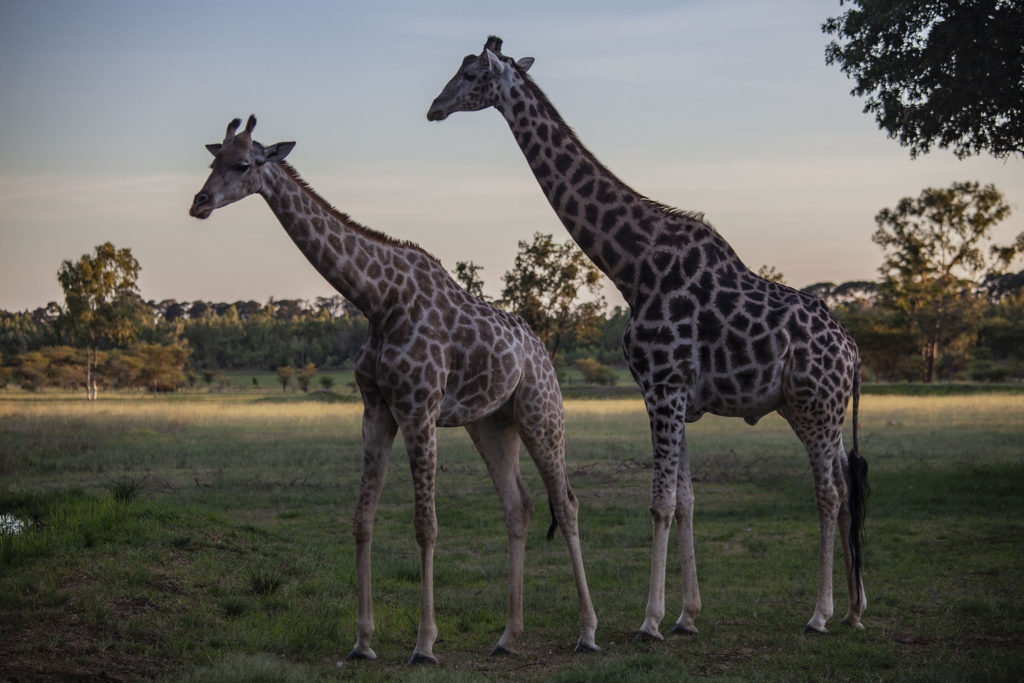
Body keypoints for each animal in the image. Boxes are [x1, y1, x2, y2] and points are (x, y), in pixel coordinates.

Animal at [190, 116, 598, 663]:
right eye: (211, 160)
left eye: (242, 164)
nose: (199, 202)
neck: (376, 300)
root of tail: (540, 350)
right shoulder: (376, 410)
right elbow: (362, 519)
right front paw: (362, 641)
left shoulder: (418, 408)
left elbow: (425, 525)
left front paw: (424, 643)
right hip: (492, 423)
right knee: (520, 506)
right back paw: (508, 636)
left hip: (541, 413)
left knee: (567, 503)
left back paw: (587, 632)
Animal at [428, 38, 868, 643]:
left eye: (471, 73)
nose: (434, 107)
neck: (632, 267)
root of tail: (853, 354)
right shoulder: (672, 393)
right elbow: (684, 501)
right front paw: (686, 615)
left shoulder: (664, 386)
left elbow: (660, 503)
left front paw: (650, 621)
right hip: (817, 408)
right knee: (847, 487)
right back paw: (854, 609)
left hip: (814, 405)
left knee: (829, 492)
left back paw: (820, 613)